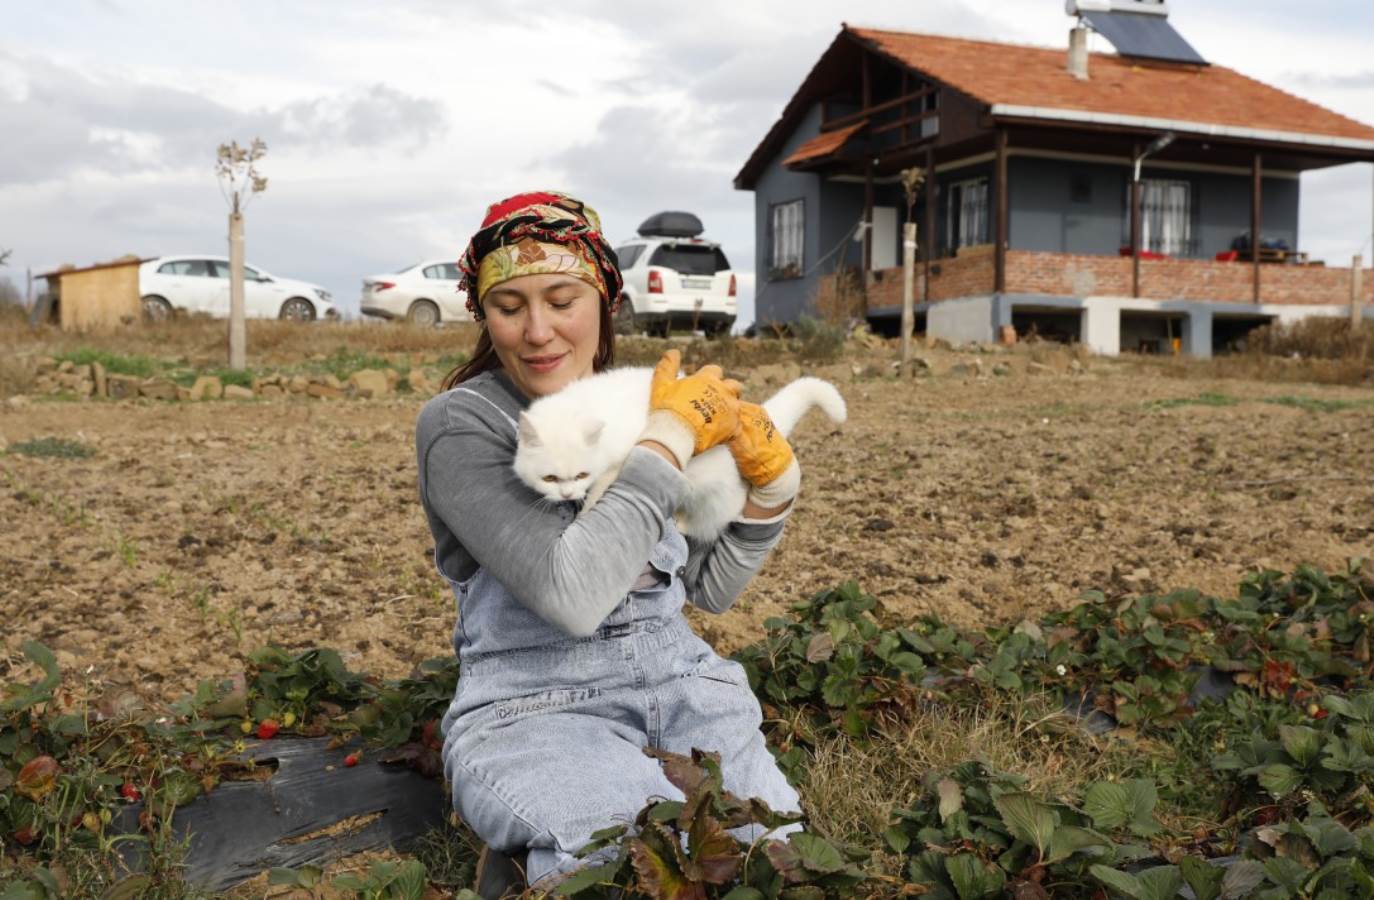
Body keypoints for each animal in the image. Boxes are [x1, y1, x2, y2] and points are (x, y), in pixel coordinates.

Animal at [511, 368, 840, 538]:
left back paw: (683, 524)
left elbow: (602, 486)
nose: (566, 495)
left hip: (713, 497)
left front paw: (586, 508)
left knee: (710, 523)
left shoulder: (621, 459)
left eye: (581, 474)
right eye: (550, 478)